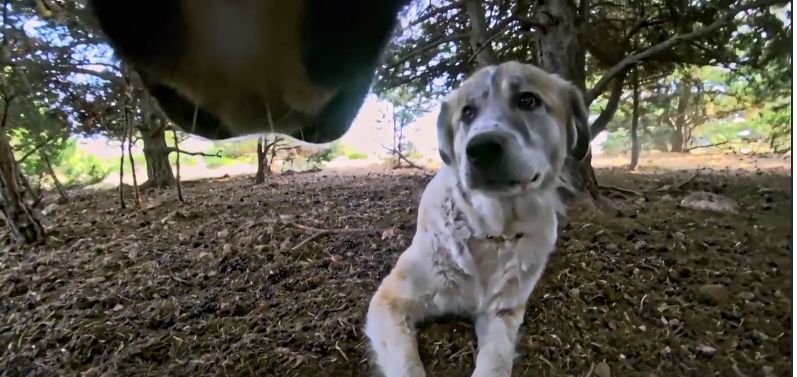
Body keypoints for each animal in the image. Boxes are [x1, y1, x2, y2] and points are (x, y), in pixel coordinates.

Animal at [364, 61, 588, 376]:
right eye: (467, 112)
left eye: (527, 100)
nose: (480, 148)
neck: (494, 233)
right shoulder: (390, 300)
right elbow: (408, 366)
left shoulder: (503, 312)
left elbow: (495, 362)